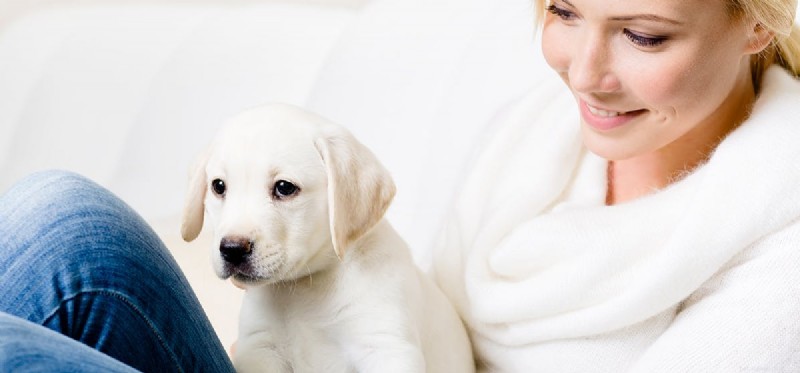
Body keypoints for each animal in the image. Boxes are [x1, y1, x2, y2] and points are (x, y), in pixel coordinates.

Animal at [180, 104, 476, 372]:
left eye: (284, 187)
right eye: (218, 186)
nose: (232, 248)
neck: (306, 290)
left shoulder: (386, 347)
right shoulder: (260, 349)